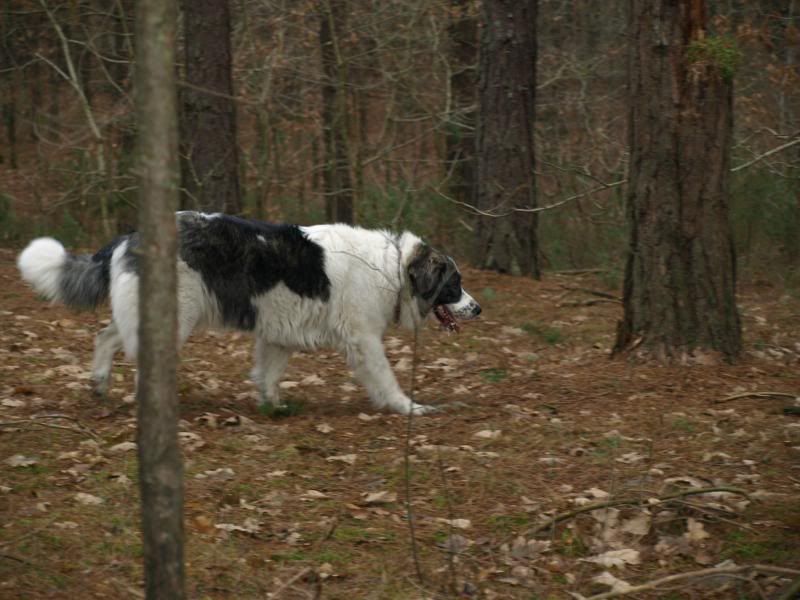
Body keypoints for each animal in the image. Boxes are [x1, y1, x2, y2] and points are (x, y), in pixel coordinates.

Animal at [17, 212, 481, 414]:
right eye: (454, 284)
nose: (478, 308)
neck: (392, 267)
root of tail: (131, 234)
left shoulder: (277, 335)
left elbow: (269, 374)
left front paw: (271, 404)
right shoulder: (365, 341)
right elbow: (386, 379)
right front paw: (407, 407)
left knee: (105, 337)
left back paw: (99, 382)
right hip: (175, 316)